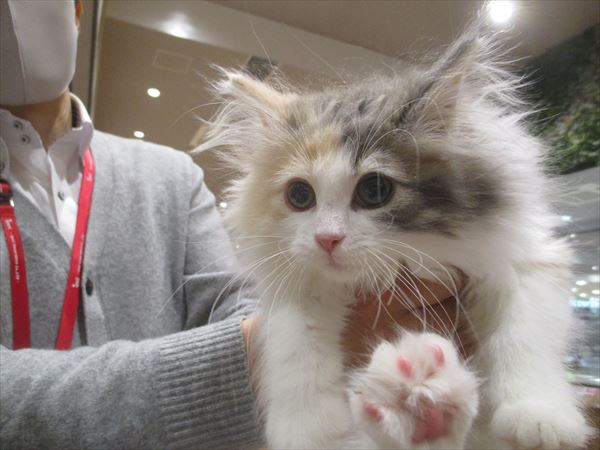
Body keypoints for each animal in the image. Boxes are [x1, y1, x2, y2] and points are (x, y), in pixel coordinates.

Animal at [196, 29, 593, 449]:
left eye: (374, 190)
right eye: (299, 195)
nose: (327, 239)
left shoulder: (526, 259)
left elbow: (522, 333)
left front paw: (539, 414)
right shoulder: (294, 288)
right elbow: (296, 345)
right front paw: (311, 427)